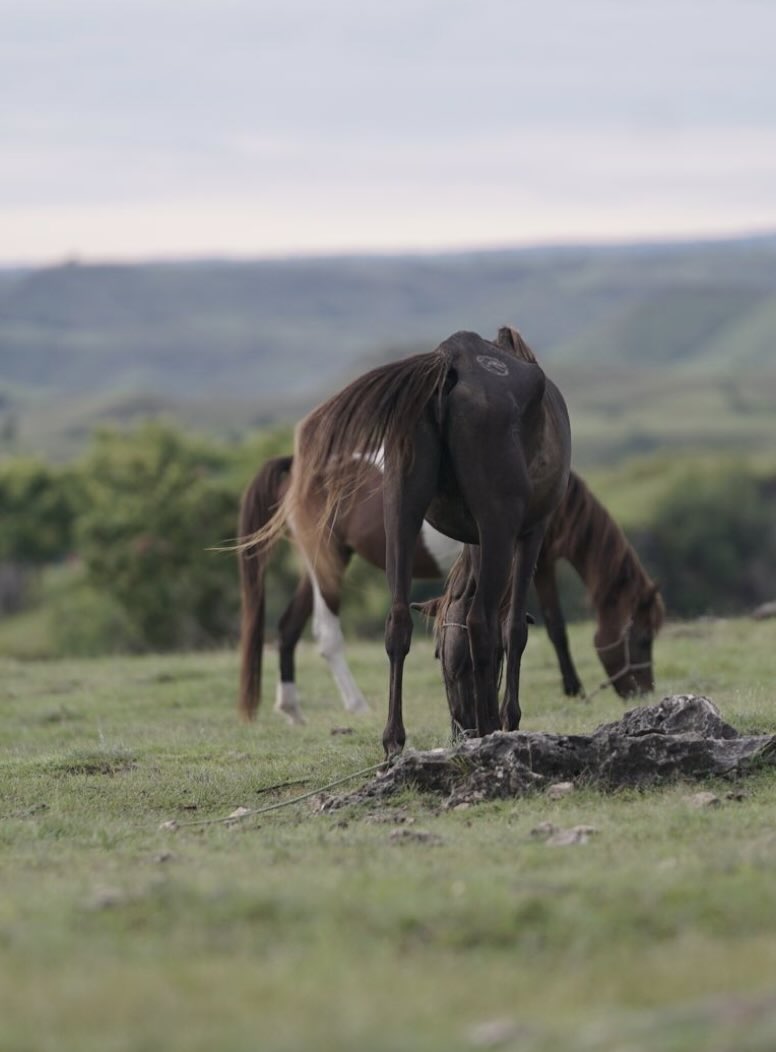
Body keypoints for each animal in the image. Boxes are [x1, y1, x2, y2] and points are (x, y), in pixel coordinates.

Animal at [239, 461, 663, 726]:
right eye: (642, 639)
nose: (642, 693)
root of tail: (296, 468)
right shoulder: (533, 560)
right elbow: (554, 627)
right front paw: (574, 690)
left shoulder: (538, 562)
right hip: (328, 561)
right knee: (326, 636)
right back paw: (356, 705)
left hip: (324, 562)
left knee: (287, 627)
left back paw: (292, 708)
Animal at [244, 326, 572, 756]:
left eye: (441, 657)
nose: (462, 729)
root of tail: (452, 358)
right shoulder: (530, 533)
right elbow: (514, 629)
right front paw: (511, 719)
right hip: (492, 527)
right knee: (479, 621)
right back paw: (483, 729)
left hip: (396, 515)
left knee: (393, 621)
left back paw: (390, 739)